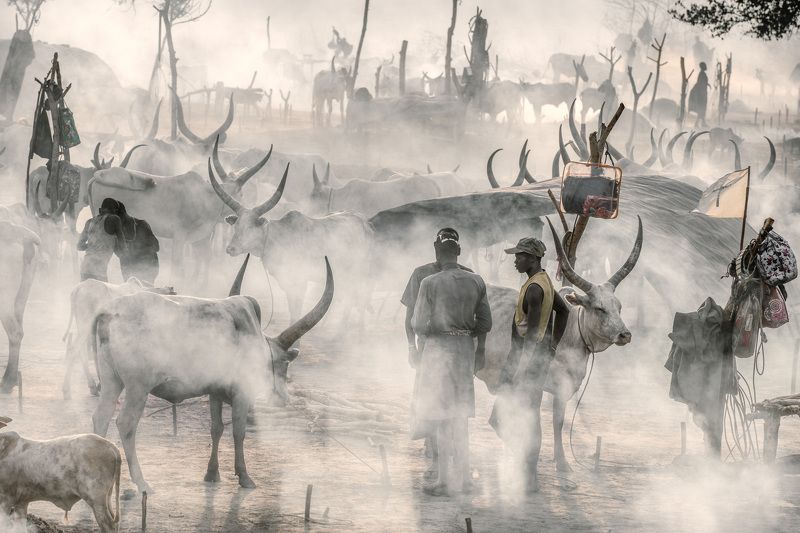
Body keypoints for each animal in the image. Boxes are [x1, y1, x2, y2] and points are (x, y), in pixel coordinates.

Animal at [86, 137, 270, 281]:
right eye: (241, 193)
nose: (244, 210)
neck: (207, 196)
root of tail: (97, 177)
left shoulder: (200, 239)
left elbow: (205, 260)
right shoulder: (180, 237)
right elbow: (178, 267)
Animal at [91, 254, 334, 493]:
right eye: (284, 363)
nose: (283, 399)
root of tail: (108, 311)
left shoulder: (215, 391)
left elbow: (216, 429)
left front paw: (212, 473)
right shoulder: (242, 392)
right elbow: (238, 431)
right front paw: (244, 476)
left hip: (111, 381)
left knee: (101, 417)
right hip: (138, 387)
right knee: (125, 424)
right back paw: (142, 482)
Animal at [208, 162, 373, 325]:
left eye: (250, 227)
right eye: (236, 226)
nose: (231, 248)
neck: (277, 236)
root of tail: (364, 222)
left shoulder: (300, 283)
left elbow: (296, 314)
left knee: (361, 296)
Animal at [477, 217, 643, 472]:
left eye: (619, 307)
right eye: (599, 308)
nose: (625, 335)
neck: (573, 334)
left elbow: (555, 421)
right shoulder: (549, 386)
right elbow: (552, 421)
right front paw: (562, 463)